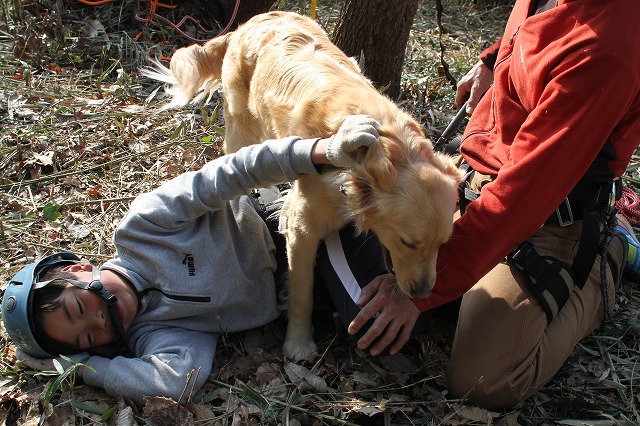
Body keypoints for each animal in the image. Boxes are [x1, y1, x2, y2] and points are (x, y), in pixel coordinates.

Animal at [142, 10, 462, 360]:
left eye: (443, 244)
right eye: (408, 243)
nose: (423, 293)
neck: (387, 148)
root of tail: (252, 21)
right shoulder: (305, 229)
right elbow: (301, 291)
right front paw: (299, 343)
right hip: (241, 128)